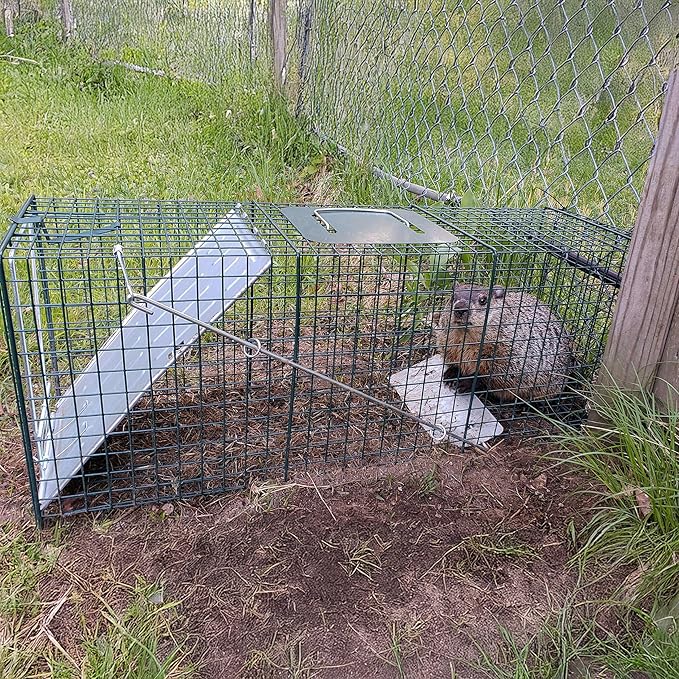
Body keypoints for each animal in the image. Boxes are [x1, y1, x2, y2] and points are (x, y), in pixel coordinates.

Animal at [432, 284, 574, 403]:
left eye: (483, 300)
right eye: (453, 297)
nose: (460, 308)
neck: (465, 338)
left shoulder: (509, 349)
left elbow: (503, 373)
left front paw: (466, 382)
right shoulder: (447, 341)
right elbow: (453, 358)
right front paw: (452, 374)